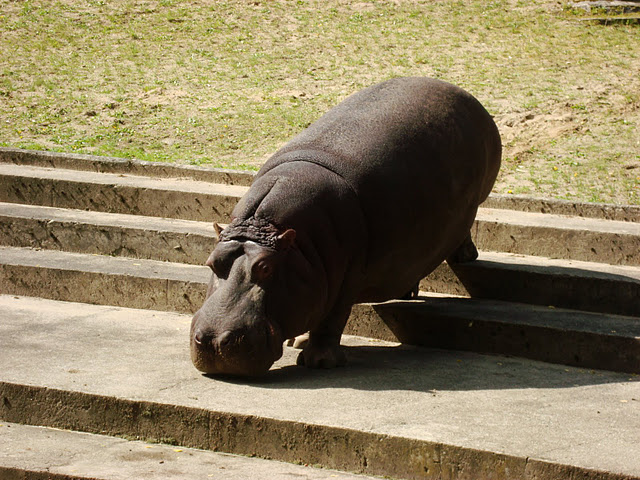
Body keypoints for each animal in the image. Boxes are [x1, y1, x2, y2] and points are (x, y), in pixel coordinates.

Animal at [190, 77, 501, 376]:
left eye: (265, 268)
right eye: (211, 262)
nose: (214, 341)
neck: (269, 227)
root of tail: (464, 94)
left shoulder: (346, 276)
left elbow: (332, 319)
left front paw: (318, 362)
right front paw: (298, 342)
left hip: (472, 204)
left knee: (463, 232)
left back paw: (465, 257)